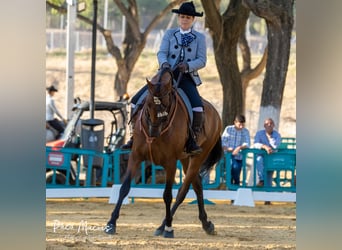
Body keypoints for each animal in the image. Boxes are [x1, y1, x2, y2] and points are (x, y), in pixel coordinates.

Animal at [104, 67, 223, 238]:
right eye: (147, 104)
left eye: (167, 104)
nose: (154, 131)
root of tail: (215, 113)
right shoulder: (136, 157)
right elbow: (124, 188)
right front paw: (111, 224)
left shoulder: (170, 162)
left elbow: (167, 195)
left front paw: (169, 228)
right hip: (186, 158)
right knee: (197, 185)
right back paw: (206, 224)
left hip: (198, 156)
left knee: (182, 191)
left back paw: (163, 226)